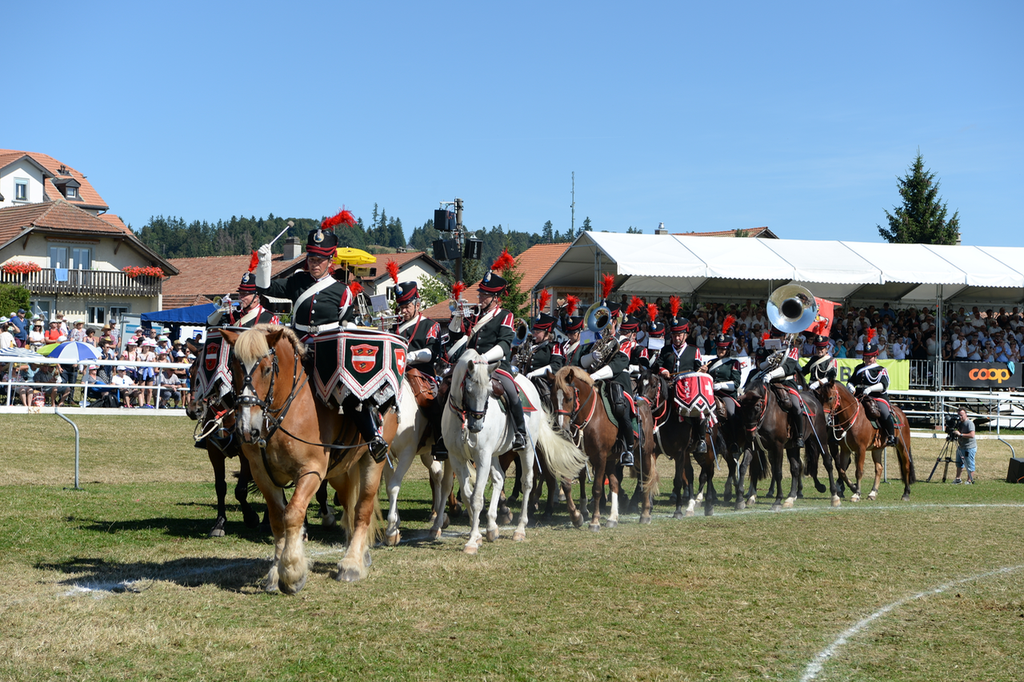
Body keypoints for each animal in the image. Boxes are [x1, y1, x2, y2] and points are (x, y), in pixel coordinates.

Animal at [222, 323, 393, 589]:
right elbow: (277, 519)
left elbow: (293, 513)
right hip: (341, 471)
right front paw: (275, 571)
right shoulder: (262, 474)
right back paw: (359, 553)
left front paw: (292, 571)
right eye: (233, 369)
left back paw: (352, 563)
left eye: (267, 369)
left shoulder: (311, 471)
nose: (246, 430)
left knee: (362, 509)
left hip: (373, 462)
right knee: (349, 506)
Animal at [385, 372, 452, 540]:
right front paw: (395, 525)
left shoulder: (407, 454)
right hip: (428, 454)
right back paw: (437, 516)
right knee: (437, 476)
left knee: (446, 483)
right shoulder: (386, 456)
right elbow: (389, 486)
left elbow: (393, 486)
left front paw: (391, 530)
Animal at [440, 350, 585, 552]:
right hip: (495, 454)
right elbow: (468, 496)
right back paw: (492, 527)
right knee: (499, 478)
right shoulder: (456, 458)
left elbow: (477, 498)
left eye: (489, 392)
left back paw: (520, 529)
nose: (476, 426)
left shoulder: (482, 457)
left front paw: (472, 541)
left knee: (527, 482)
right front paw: (477, 534)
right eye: (468, 390)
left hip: (526, 449)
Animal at [552, 366, 655, 524]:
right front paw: (576, 516)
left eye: (569, 398)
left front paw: (594, 521)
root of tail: (644, 403)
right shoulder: (578, 454)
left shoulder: (600, 456)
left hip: (644, 453)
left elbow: (597, 489)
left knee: (646, 478)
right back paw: (613, 517)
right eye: (552, 398)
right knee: (615, 483)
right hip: (612, 459)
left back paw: (645, 514)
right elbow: (567, 483)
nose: (561, 429)